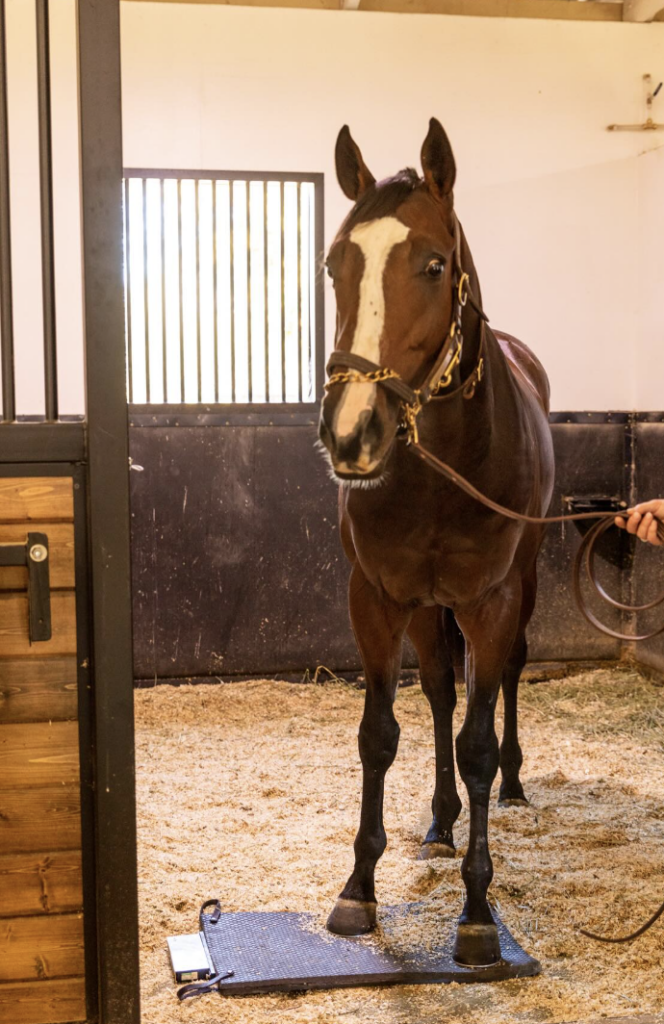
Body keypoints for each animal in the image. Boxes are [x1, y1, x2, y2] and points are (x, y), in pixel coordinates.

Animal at [317, 118, 555, 967]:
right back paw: (443, 821)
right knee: (443, 693)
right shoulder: (377, 598)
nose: (351, 434)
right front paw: (359, 889)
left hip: (524, 585)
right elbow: (380, 734)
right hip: (426, 608)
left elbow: (477, 739)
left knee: (504, 681)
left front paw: (478, 913)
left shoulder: (489, 601)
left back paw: (511, 787)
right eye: (335, 264)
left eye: (434, 264)